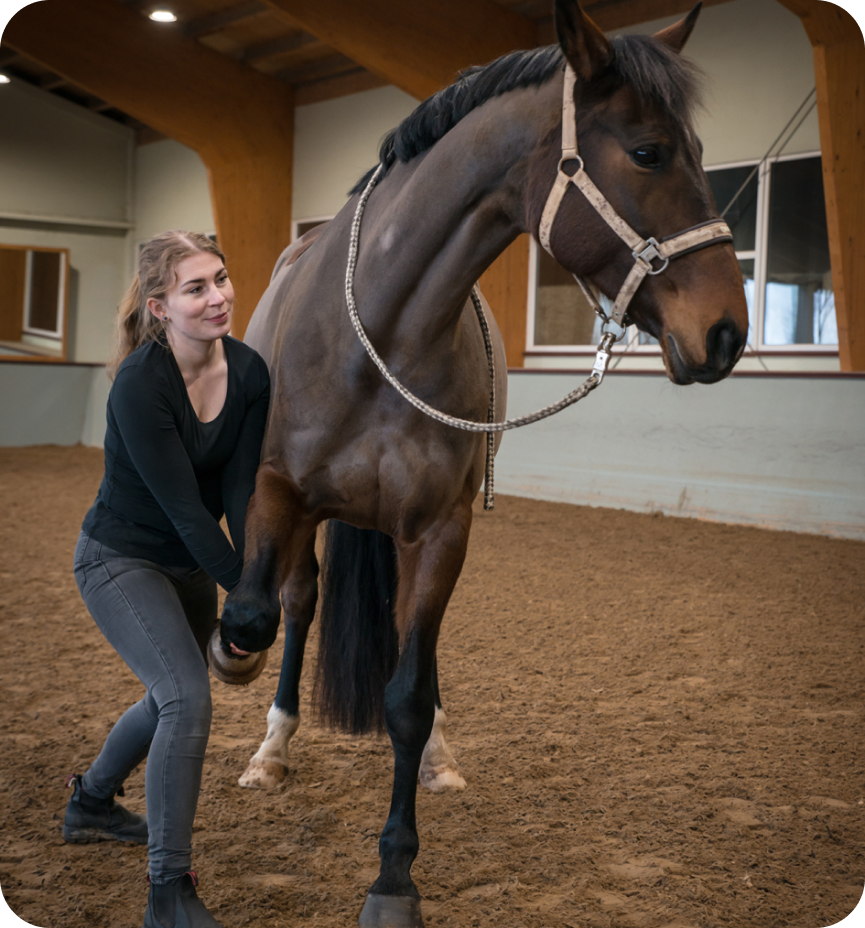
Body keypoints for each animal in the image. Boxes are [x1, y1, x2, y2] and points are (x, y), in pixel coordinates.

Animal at [218, 3, 748, 924]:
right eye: (648, 152)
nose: (727, 332)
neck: (380, 331)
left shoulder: (438, 531)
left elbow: (405, 694)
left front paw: (394, 876)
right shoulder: (276, 492)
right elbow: (255, 613)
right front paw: (235, 667)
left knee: (409, 649)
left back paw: (437, 752)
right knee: (296, 602)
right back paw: (272, 746)